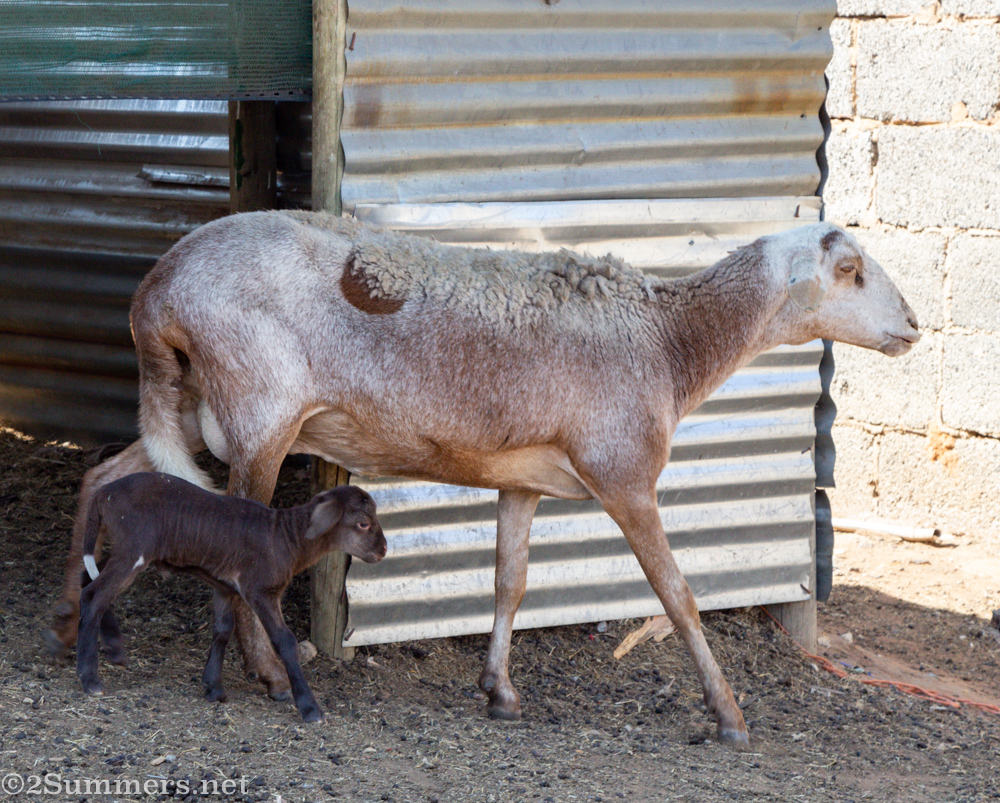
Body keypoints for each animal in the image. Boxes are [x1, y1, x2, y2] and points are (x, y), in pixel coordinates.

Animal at [75, 471, 386, 722]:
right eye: (363, 524)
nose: (383, 550)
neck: (287, 539)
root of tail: (103, 494)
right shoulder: (260, 590)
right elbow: (284, 641)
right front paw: (310, 708)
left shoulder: (224, 585)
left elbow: (222, 631)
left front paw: (214, 688)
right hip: (134, 548)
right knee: (93, 596)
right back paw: (90, 678)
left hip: (125, 550)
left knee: (88, 580)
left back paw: (114, 648)